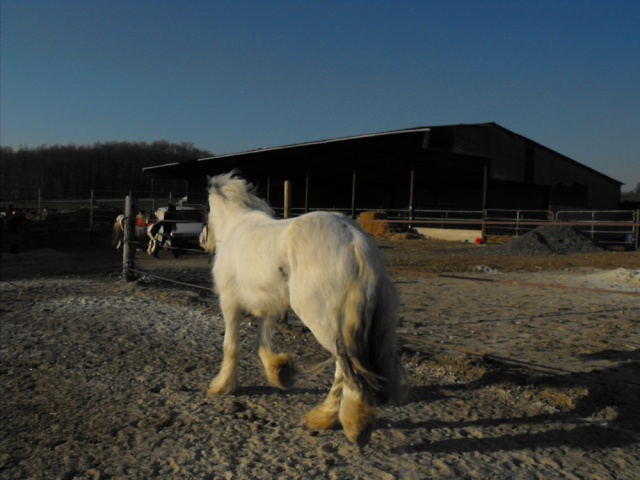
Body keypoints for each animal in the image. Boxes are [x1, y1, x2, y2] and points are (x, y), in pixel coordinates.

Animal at [202, 170, 408, 446]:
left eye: (206, 210)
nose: (203, 241)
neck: (236, 228)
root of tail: (357, 243)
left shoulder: (229, 302)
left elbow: (230, 345)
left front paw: (222, 385)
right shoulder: (269, 306)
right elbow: (261, 342)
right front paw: (280, 372)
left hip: (323, 321)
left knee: (346, 369)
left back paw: (352, 424)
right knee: (345, 368)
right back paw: (328, 417)